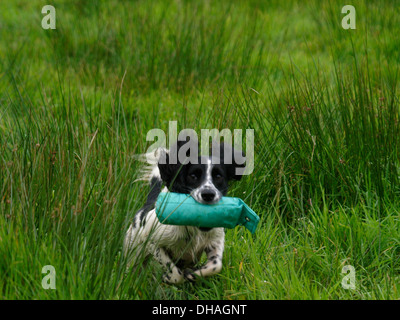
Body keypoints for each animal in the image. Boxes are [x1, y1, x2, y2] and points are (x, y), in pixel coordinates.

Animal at [123, 141, 245, 284]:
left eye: (218, 176)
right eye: (193, 176)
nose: (208, 194)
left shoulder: (215, 240)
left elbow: (216, 265)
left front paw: (194, 274)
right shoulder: (152, 240)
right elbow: (175, 273)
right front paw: (169, 277)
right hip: (134, 252)